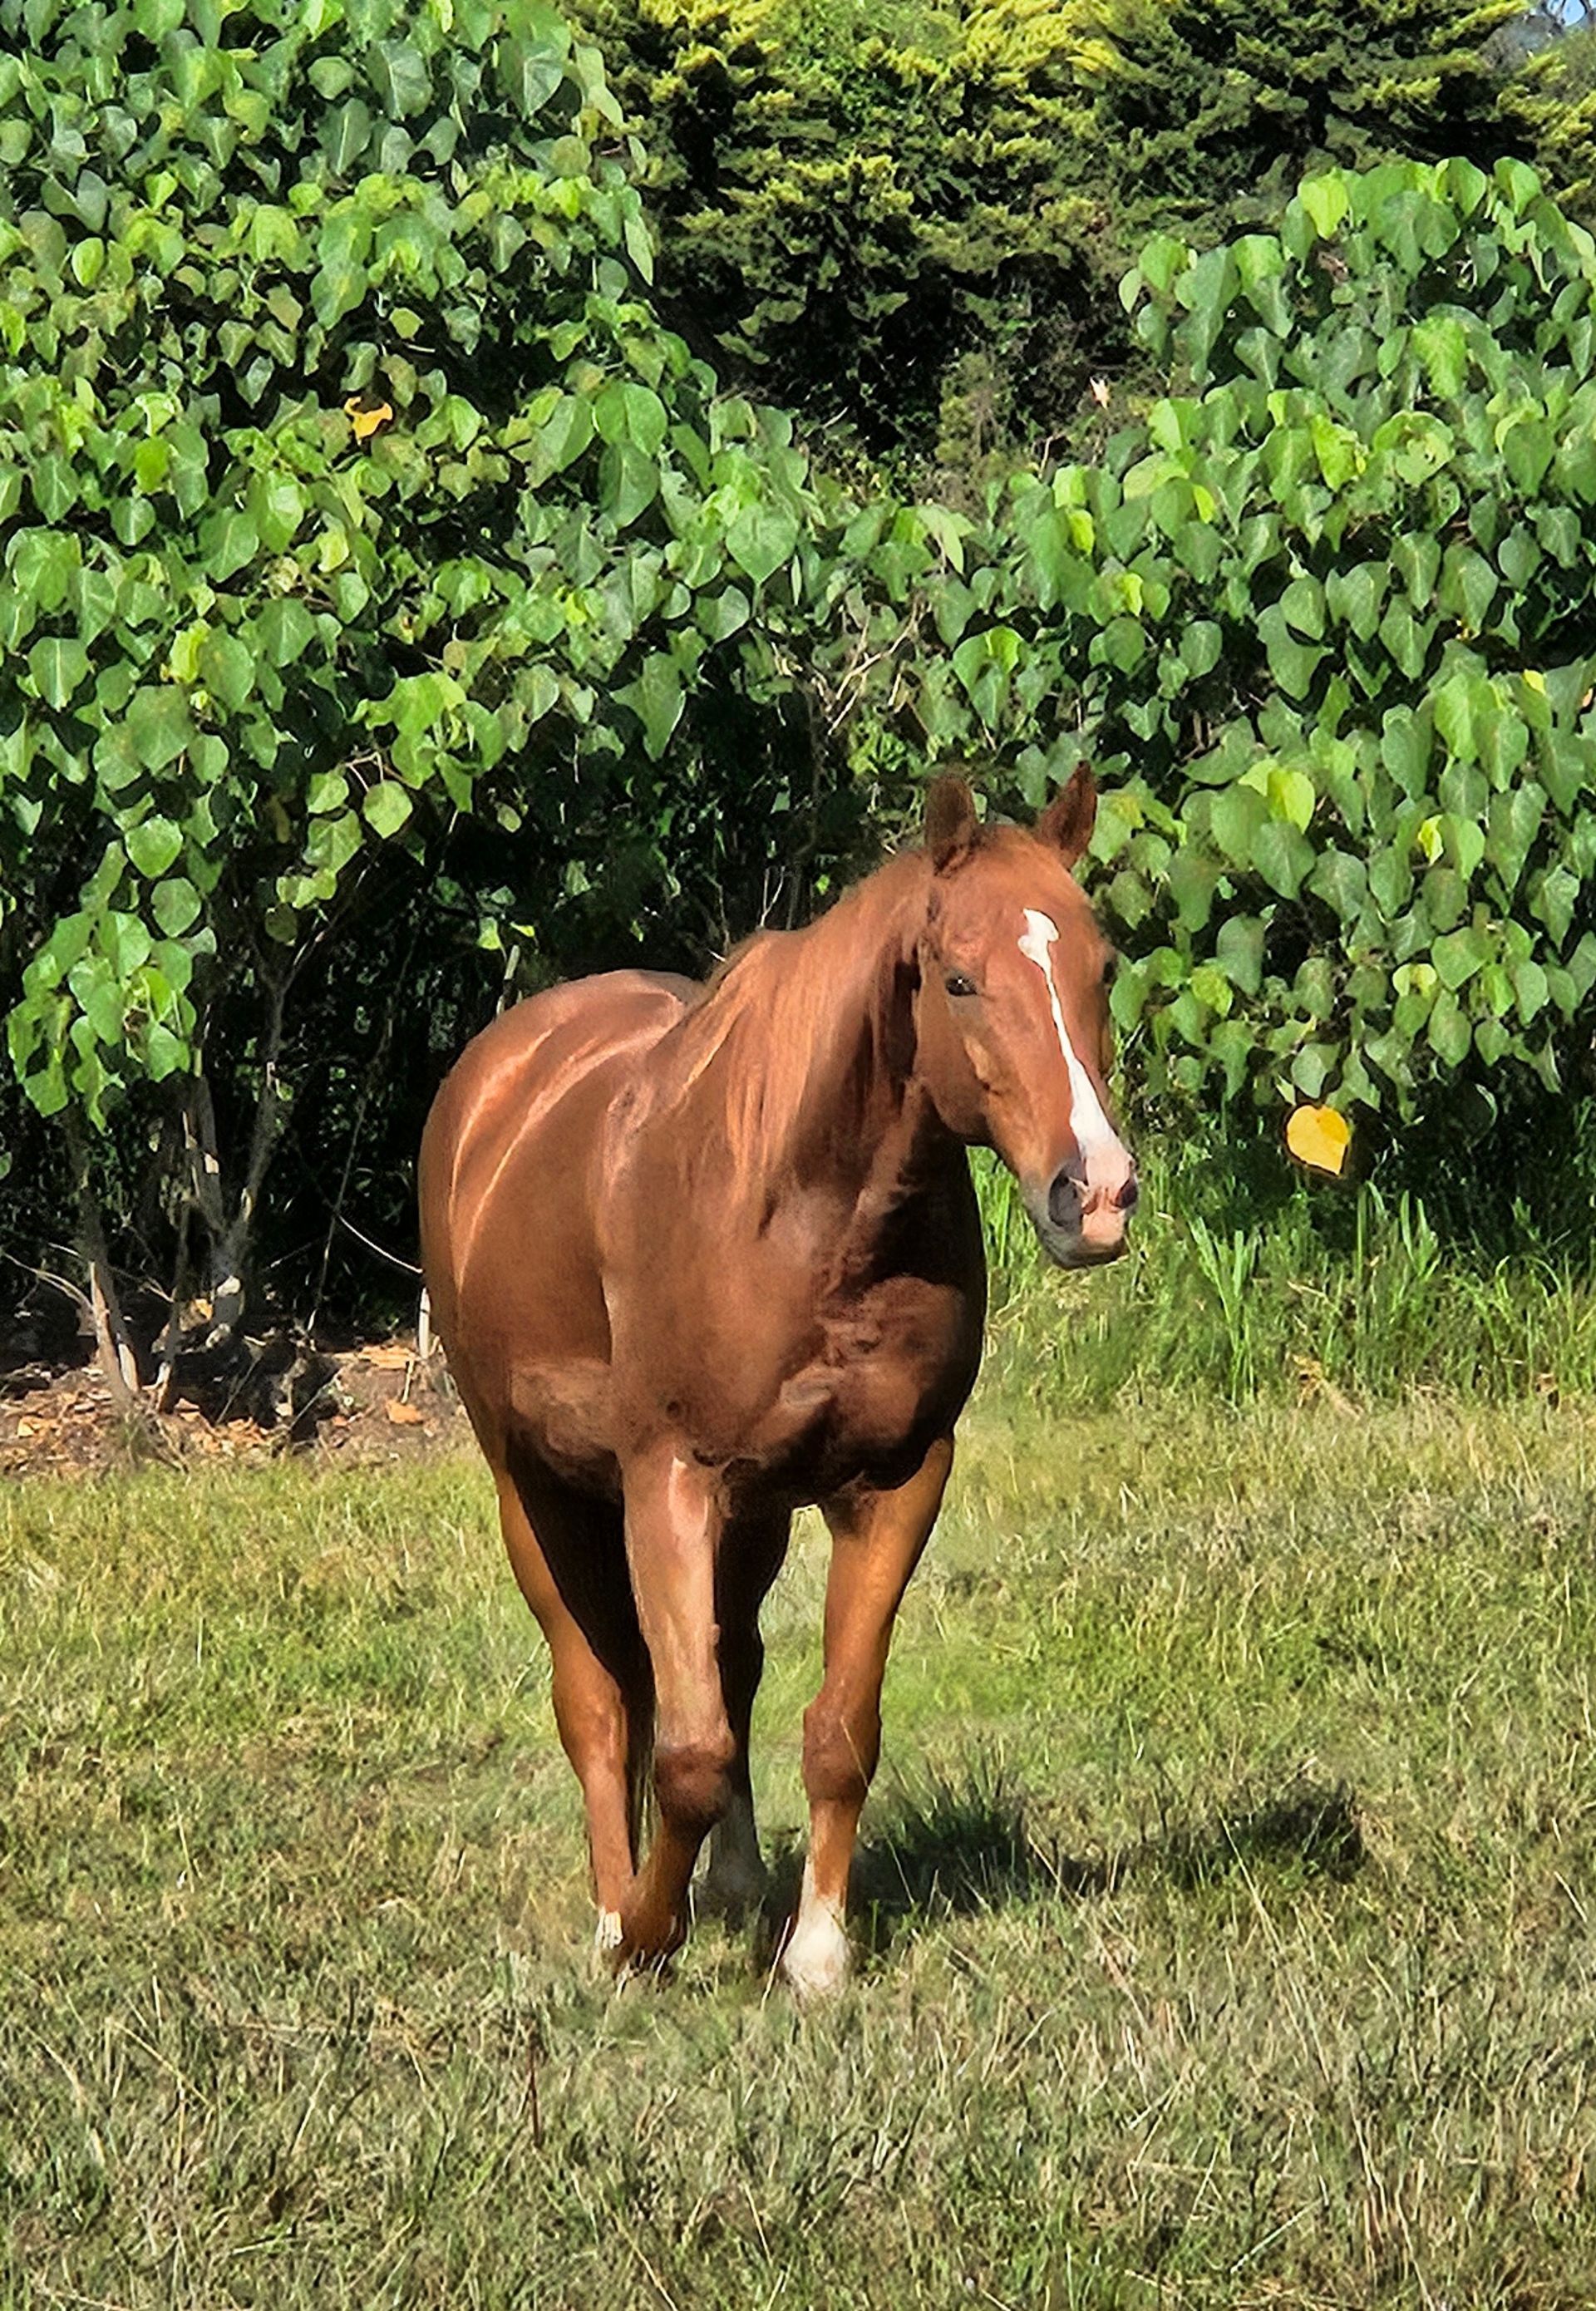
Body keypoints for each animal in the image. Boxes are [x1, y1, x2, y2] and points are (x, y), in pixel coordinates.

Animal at [417, 767, 1137, 1996]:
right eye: (958, 979)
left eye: (1101, 966)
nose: (1093, 1193)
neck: (809, 1219)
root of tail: (496, 1079)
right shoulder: (667, 1480)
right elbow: (686, 1749)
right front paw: (646, 1936)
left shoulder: (896, 1481)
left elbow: (838, 1727)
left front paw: (817, 1949)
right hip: (535, 1488)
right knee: (598, 1700)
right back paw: (614, 1912)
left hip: (748, 1513)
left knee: (732, 1664)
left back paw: (739, 1886)